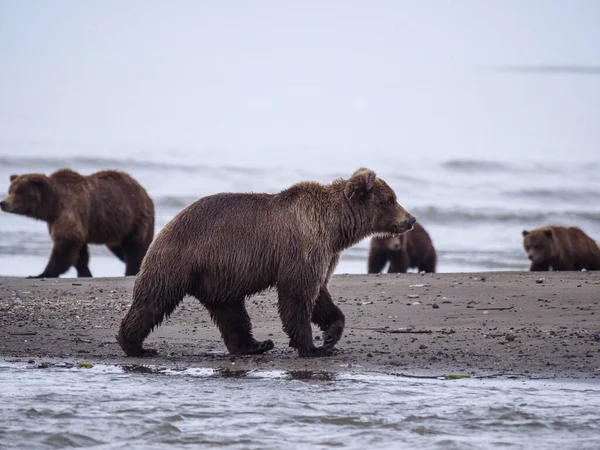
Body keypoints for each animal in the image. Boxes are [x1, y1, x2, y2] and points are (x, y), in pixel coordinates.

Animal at [0, 169, 155, 278]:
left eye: (19, 191)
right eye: (10, 190)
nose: (3, 203)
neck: (53, 206)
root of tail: (144, 191)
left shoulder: (69, 211)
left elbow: (66, 244)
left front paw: (41, 274)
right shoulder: (57, 220)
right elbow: (79, 253)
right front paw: (85, 273)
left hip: (135, 219)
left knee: (134, 247)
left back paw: (132, 271)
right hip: (116, 228)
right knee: (120, 249)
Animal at [117, 168, 418, 358]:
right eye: (391, 199)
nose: (411, 219)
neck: (336, 227)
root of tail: (168, 223)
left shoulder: (325, 253)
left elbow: (320, 293)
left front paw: (331, 334)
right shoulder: (303, 246)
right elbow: (297, 294)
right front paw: (311, 347)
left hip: (217, 276)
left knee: (231, 311)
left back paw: (255, 345)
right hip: (181, 259)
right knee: (155, 299)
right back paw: (135, 345)